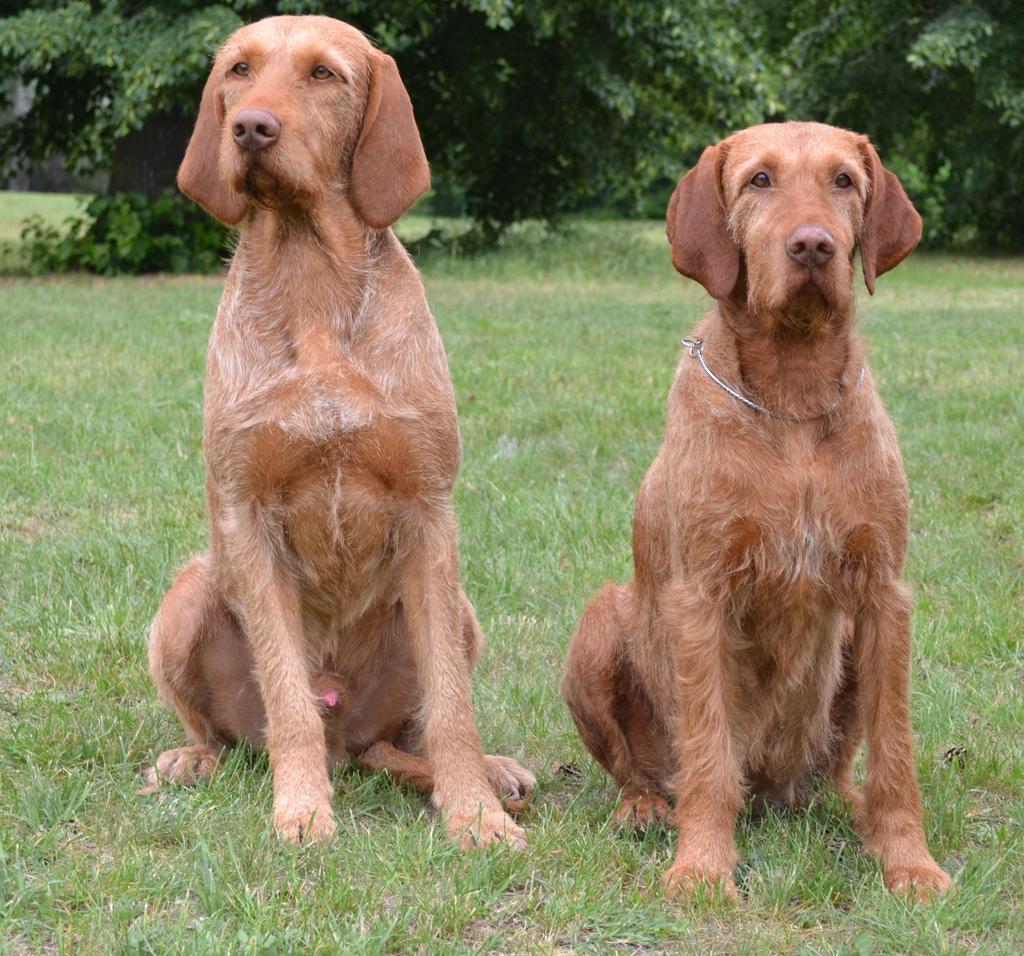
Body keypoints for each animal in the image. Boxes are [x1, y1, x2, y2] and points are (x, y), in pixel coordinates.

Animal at [561, 121, 950, 904]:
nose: (813, 246)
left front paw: (909, 861)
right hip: (597, 626)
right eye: (759, 181)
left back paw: (851, 809)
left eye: (843, 181)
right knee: (643, 769)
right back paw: (645, 807)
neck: (793, 398)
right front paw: (703, 867)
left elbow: (895, 754)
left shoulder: (884, 595)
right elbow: (709, 757)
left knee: (837, 770)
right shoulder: (702, 598)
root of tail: (775, 793)